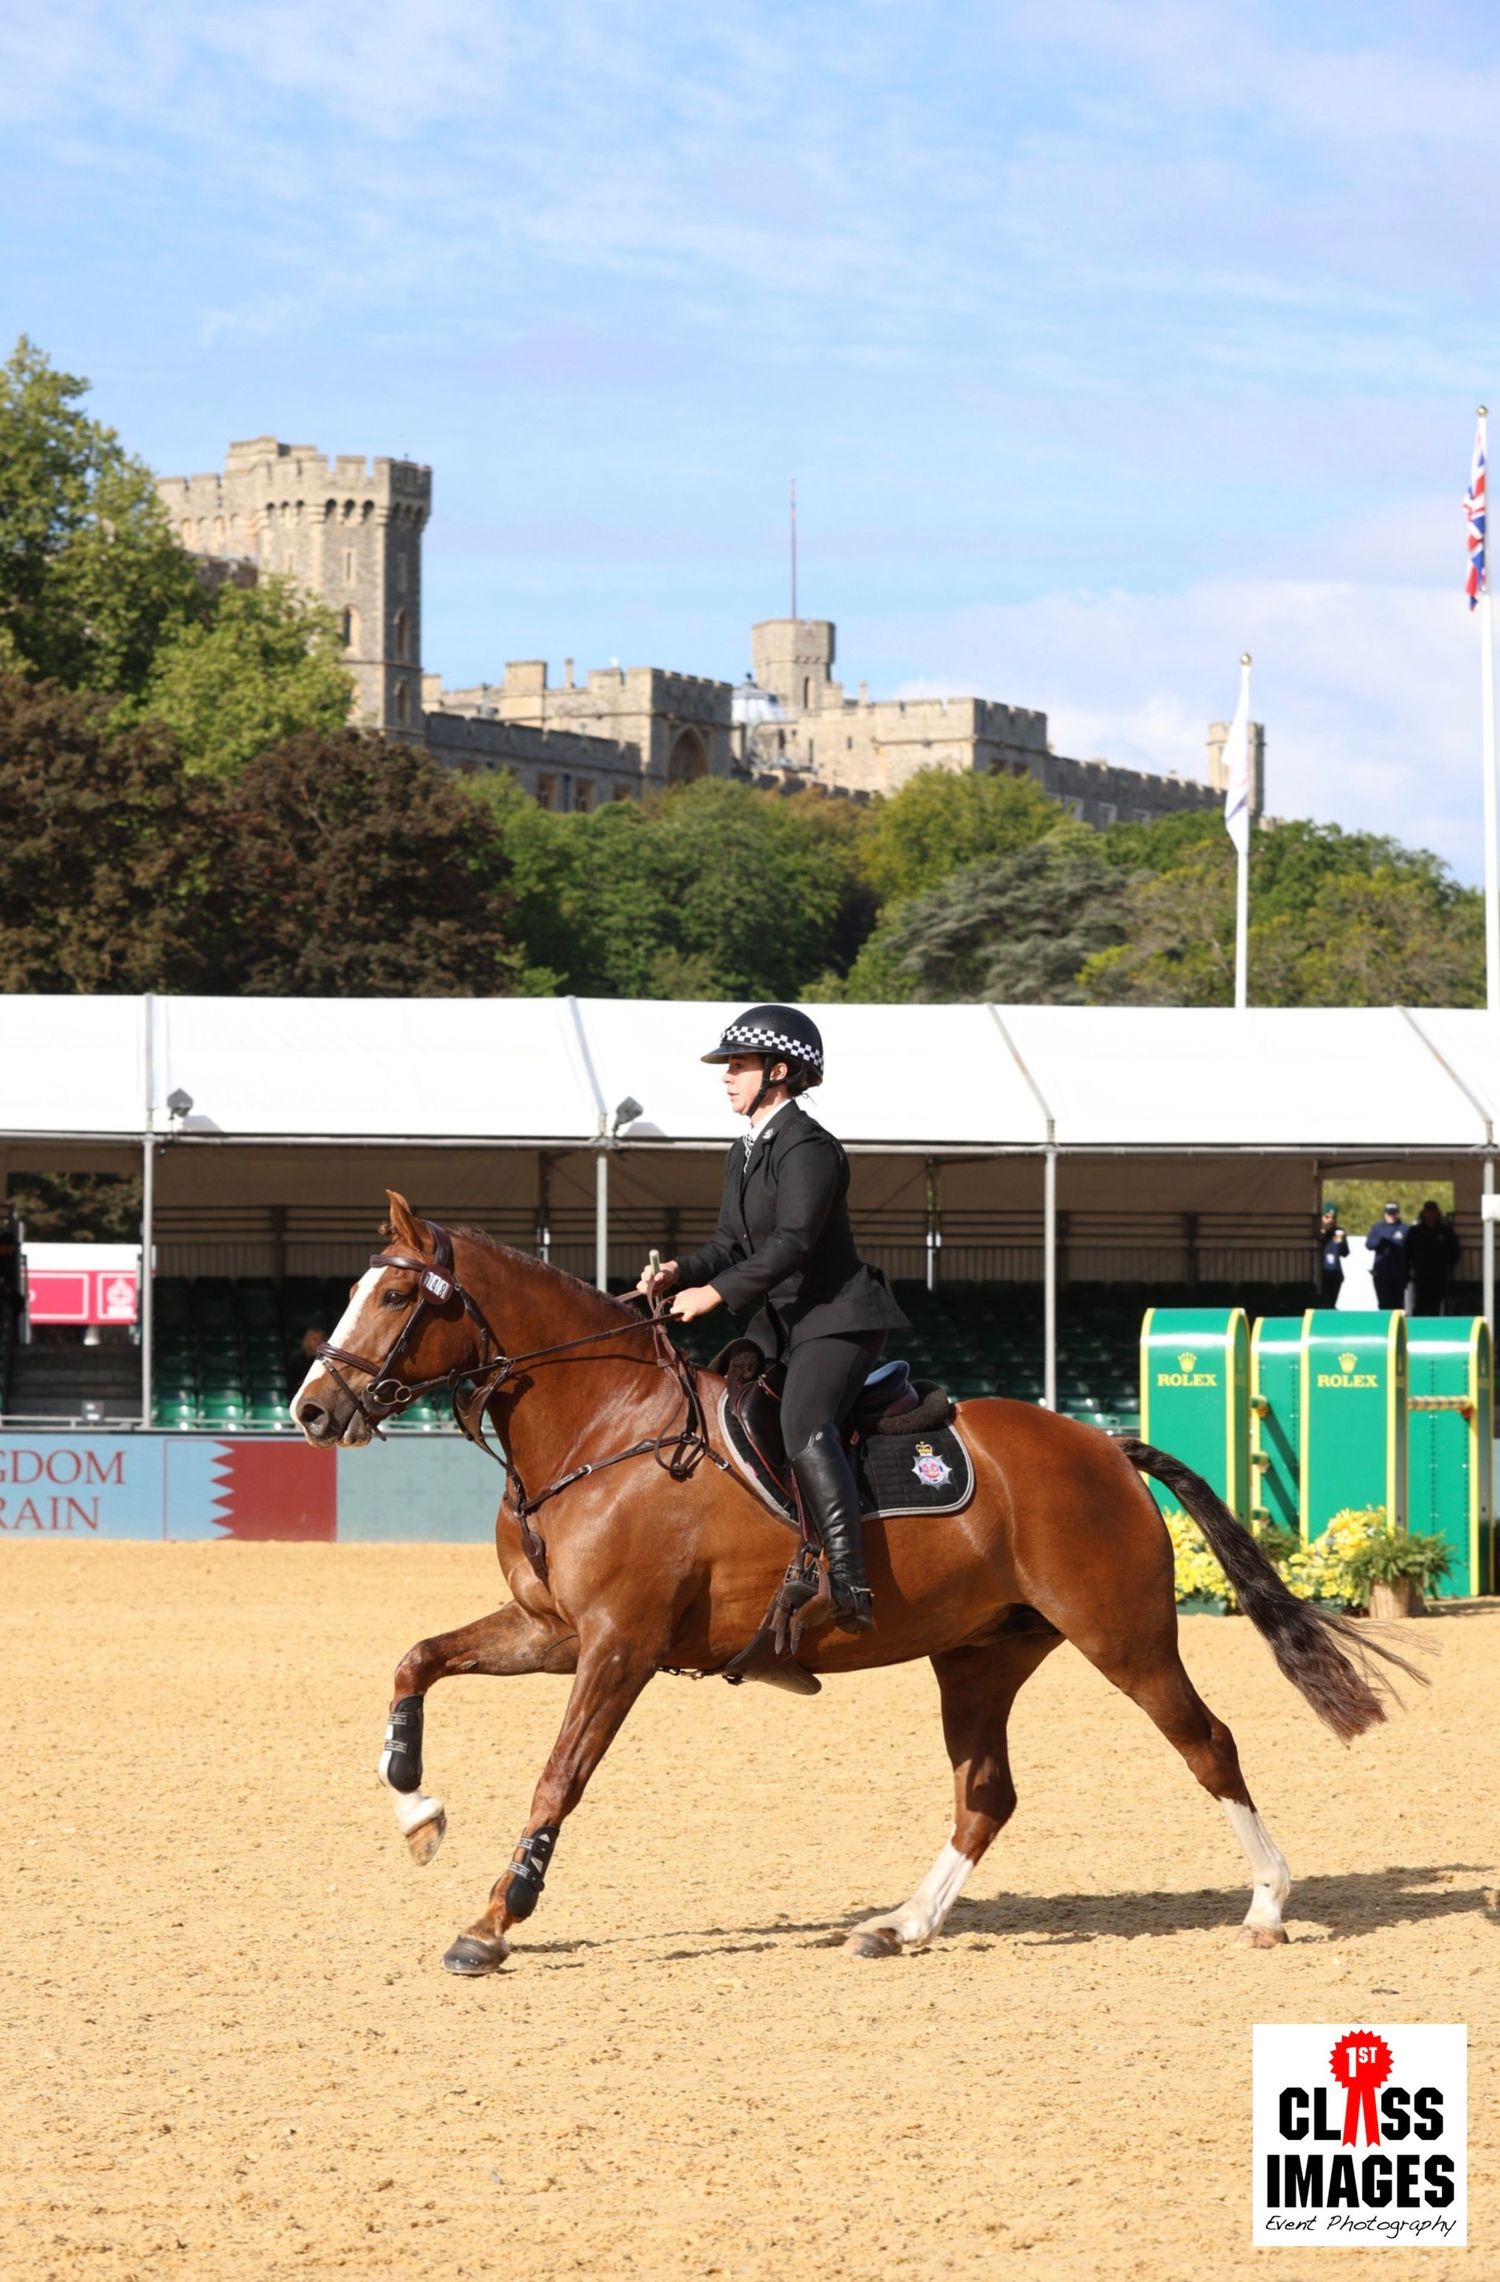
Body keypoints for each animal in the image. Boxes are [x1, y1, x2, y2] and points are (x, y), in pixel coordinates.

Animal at [292, 1191, 1417, 1978]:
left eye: (395, 1295)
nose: (310, 1410)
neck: (602, 1425)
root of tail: (1103, 1443)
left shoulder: (618, 1644)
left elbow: (558, 1775)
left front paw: (493, 1920)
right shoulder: (552, 1630)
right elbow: (416, 1660)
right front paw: (416, 1808)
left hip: (1123, 1635)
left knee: (1207, 1743)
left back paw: (1267, 1904)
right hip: (981, 1654)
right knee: (986, 1793)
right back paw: (903, 1923)